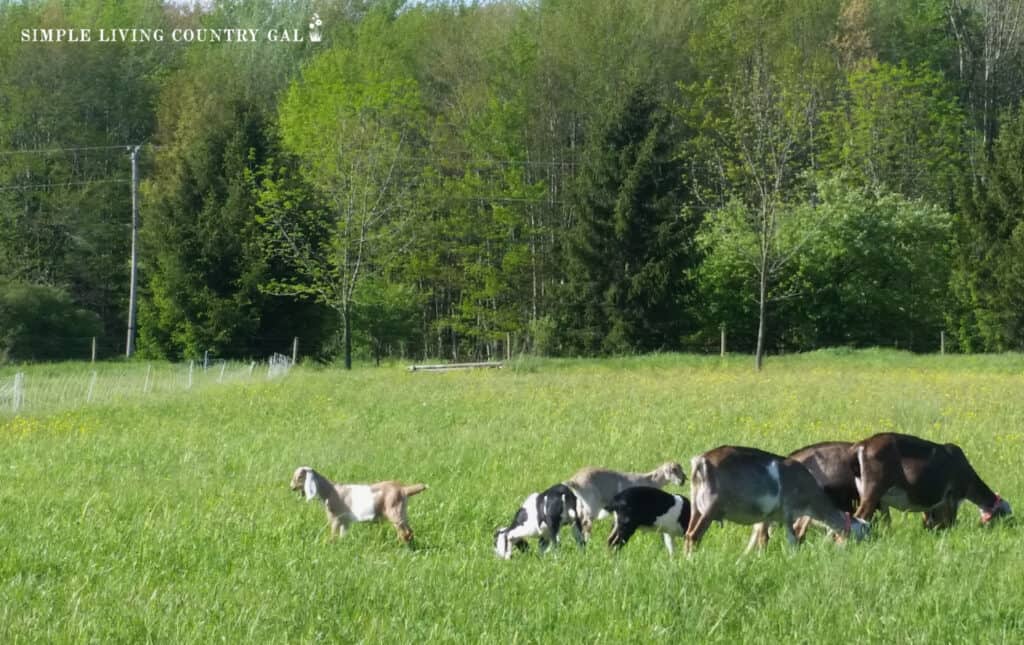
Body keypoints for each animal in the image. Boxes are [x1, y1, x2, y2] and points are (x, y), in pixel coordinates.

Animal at [292, 466, 428, 544]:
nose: (291, 487)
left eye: (299, 477)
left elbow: (333, 537)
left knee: (404, 533)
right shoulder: (345, 521)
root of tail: (403, 489)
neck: (330, 491)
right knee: (409, 532)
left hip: (394, 511)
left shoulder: (336, 518)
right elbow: (342, 536)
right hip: (402, 512)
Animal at [684, 444, 868, 556]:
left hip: (696, 508)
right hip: (711, 508)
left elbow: (763, 539)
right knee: (694, 536)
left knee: (687, 534)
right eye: (863, 533)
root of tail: (701, 461)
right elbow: (793, 539)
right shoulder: (788, 512)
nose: (859, 551)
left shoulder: (766, 516)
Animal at [847, 434, 1007, 532]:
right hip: (873, 490)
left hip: (876, 497)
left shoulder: (932, 505)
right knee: (860, 516)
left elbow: (929, 523)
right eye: (1005, 515)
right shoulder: (953, 497)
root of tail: (863, 444)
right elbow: (950, 521)